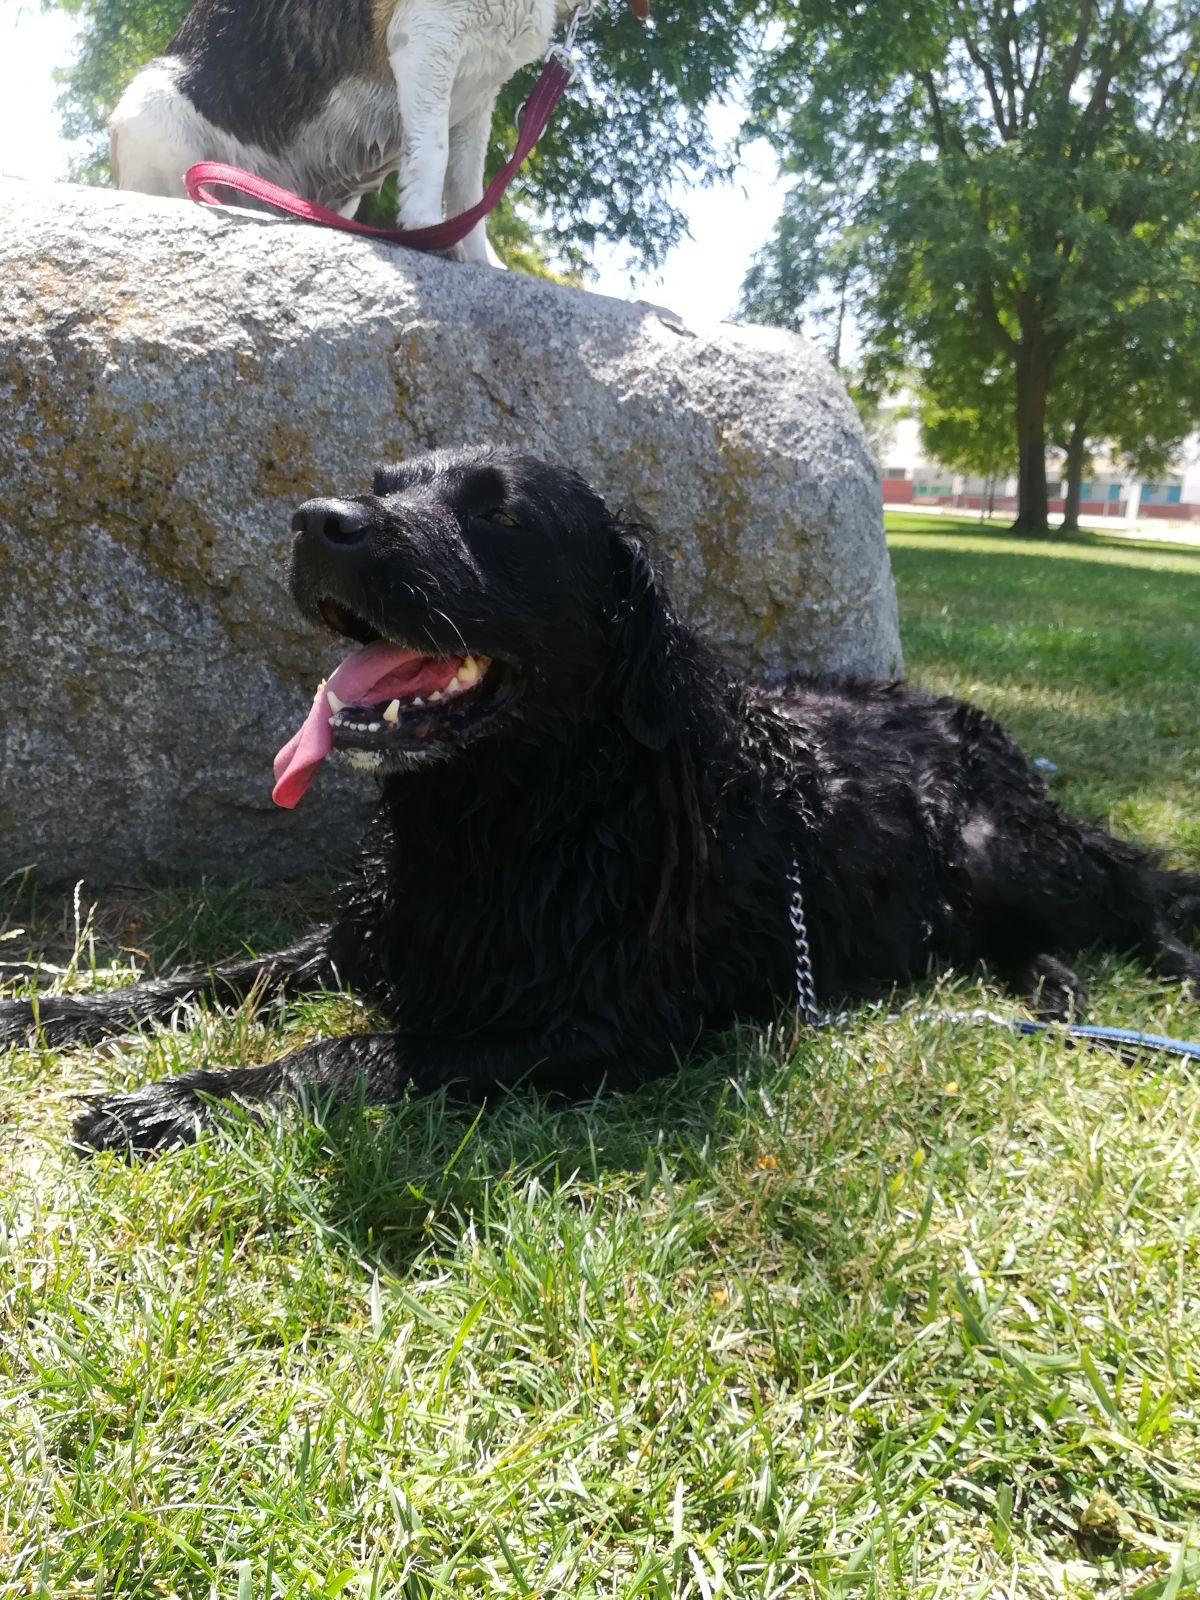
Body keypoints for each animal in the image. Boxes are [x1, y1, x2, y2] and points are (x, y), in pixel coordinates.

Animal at [4, 444, 1196, 1158]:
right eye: (382, 482)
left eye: (500, 514)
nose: (316, 520)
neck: (516, 818)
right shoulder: (367, 937)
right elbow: (216, 975)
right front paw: (55, 1011)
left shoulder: (599, 1025)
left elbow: (362, 1048)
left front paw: (189, 1096)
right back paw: (1052, 989)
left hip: (1005, 843)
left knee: (1139, 893)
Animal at [112, 0, 652, 262]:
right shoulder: (429, 39)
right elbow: (431, 154)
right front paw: (423, 230)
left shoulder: (481, 94)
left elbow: (469, 189)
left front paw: (482, 260)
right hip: (150, 113)